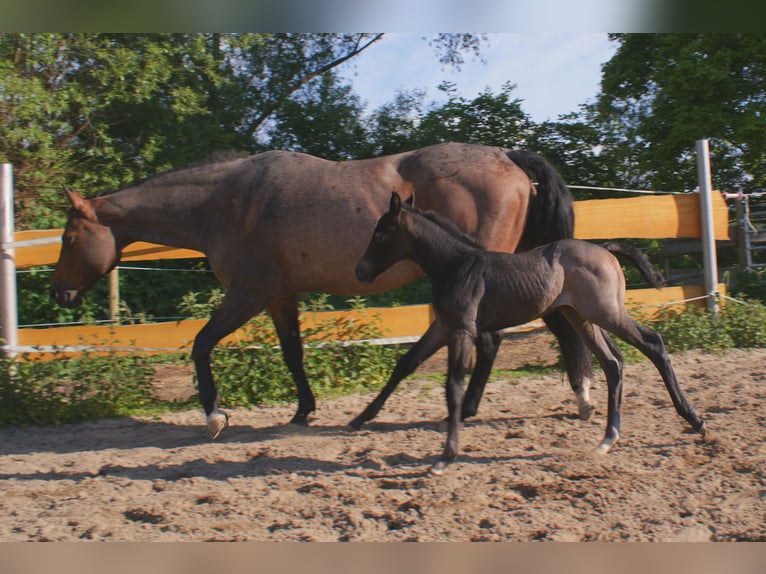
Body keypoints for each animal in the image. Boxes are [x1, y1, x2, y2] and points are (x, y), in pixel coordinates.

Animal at [49, 142, 593, 439]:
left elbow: (202, 345)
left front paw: (213, 415)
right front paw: (302, 411)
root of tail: (508, 156)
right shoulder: (278, 297)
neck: (225, 201)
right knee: (555, 326)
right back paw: (577, 394)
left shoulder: (247, 295)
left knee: (496, 338)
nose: (59, 293)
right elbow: (293, 352)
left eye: (69, 237)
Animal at [356, 192, 708, 475]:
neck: (457, 266)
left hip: (605, 313)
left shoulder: (462, 330)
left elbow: (453, 388)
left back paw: (694, 420)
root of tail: (605, 249)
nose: (360, 271)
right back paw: (608, 439)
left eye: (381, 233)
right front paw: (361, 418)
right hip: (580, 317)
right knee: (612, 362)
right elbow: (406, 363)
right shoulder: (443, 326)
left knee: (653, 344)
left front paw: (445, 457)